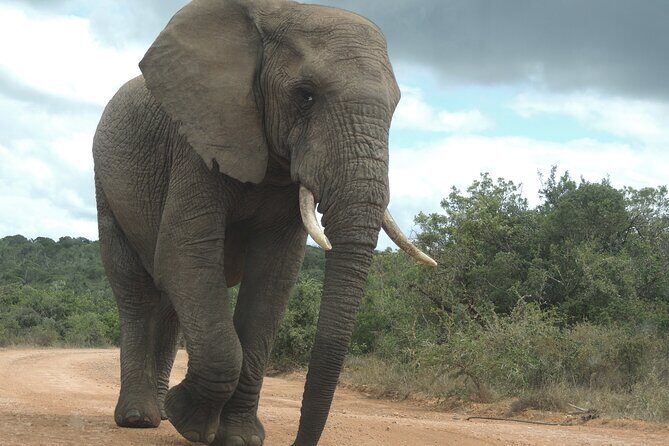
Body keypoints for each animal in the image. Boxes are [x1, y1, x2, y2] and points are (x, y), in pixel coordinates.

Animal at [92, 0, 435, 444]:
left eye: (395, 107)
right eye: (305, 95)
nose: (298, 441)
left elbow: (272, 278)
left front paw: (236, 437)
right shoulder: (198, 141)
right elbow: (186, 254)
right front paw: (193, 423)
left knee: (169, 302)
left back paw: (162, 413)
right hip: (106, 185)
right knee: (137, 291)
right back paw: (140, 418)